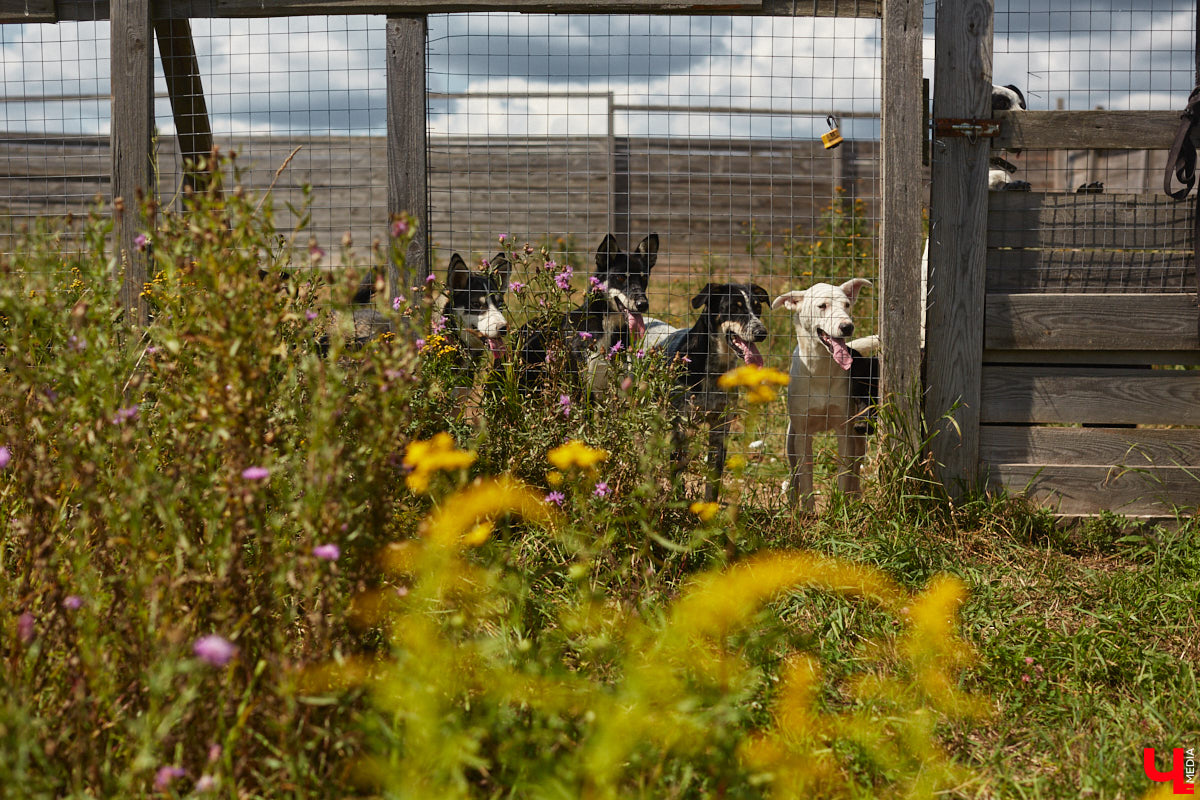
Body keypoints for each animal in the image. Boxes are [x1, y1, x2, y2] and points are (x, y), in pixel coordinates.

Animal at [657, 281, 768, 501]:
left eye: (757, 307)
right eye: (735, 308)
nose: (762, 333)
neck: (716, 367)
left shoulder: (721, 427)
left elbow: (713, 479)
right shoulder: (681, 427)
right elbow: (677, 472)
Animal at [772, 278, 878, 510]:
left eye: (847, 305)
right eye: (822, 306)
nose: (847, 326)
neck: (821, 369)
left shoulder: (844, 429)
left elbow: (844, 472)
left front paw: (841, 507)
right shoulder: (803, 434)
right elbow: (805, 475)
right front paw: (808, 511)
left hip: (859, 437)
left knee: (856, 468)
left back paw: (854, 499)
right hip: (790, 439)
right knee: (794, 473)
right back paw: (792, 505)